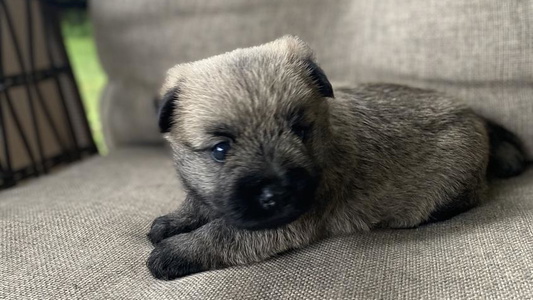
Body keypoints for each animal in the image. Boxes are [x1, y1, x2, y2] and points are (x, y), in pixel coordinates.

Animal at [144, 36, 524, 280]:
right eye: (220, 150)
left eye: (300, 130)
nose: (276, 193)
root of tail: (476, 116)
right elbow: (200, 205)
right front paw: (173, 221)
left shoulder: (285, 224)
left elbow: (222, 233)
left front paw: (177, 251)